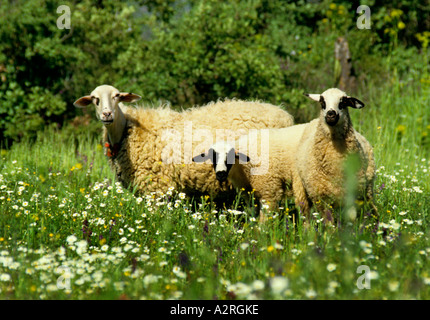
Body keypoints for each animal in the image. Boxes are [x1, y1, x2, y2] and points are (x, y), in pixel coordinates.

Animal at [74, 85, 296, 200]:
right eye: (94, 99)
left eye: (117, 96)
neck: (127, 133)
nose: (107, 114)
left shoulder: (157, 187)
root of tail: (285, 116)